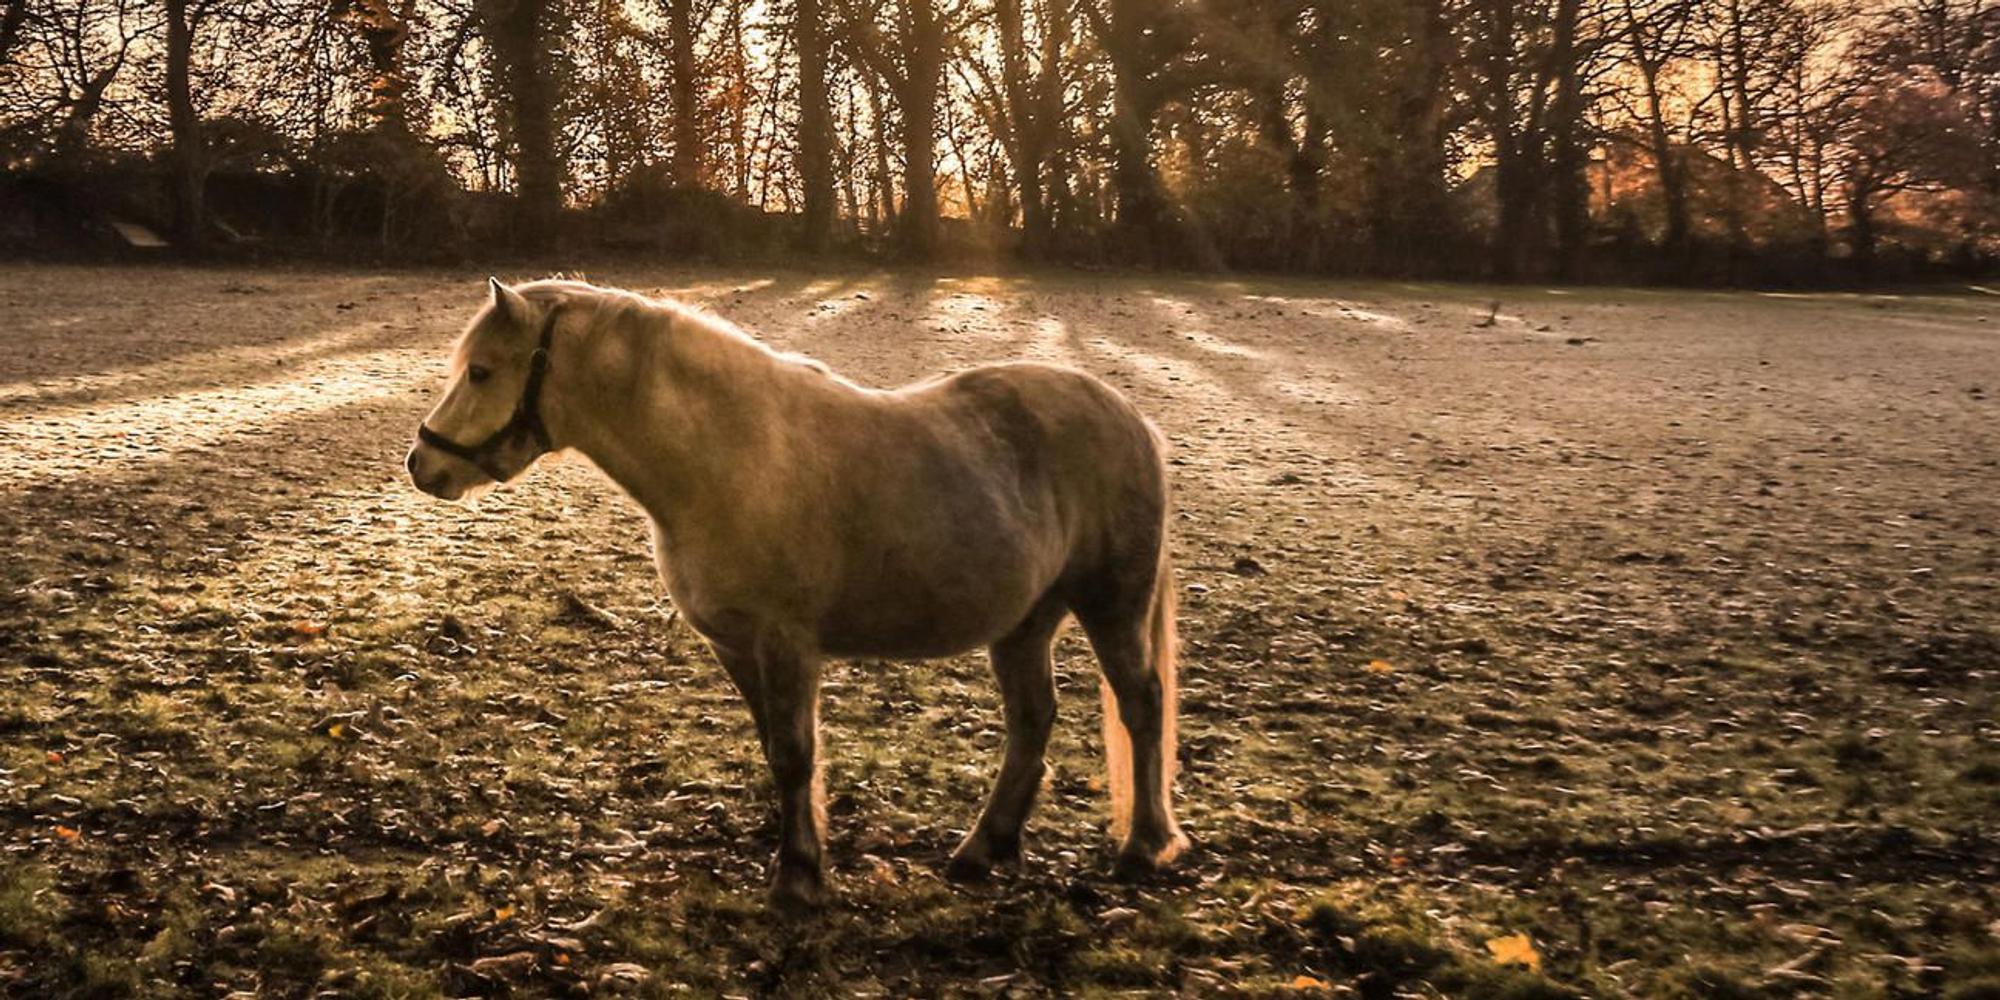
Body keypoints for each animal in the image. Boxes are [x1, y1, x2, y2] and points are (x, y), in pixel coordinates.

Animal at [406, 278, 1188, 910]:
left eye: (481, 371)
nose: (422, 465)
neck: (727, 455)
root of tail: (1130, 417)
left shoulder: (786, 644)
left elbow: (793, 753)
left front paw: (798, 879)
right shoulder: (736, 646)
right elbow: (775, 747)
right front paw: (794, 851)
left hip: (1110, 605)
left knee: (1140, 704)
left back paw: (1143, 847)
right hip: (1024, 622)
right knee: (1032, 720)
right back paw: (983, 850)